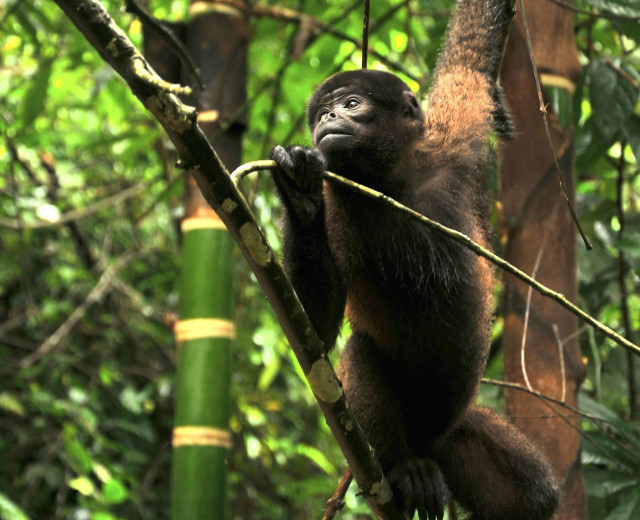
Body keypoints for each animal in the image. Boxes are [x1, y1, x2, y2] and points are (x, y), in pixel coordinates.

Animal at [268, 0, 560, 516]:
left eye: (350, 104)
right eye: (321, 113)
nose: (327, 119)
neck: (390, 178)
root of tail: (428, 441)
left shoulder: (453, 133)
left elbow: (469, 62)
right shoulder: (338, 200)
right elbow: (316, 334)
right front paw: (299, 194)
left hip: (454, 433)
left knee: (538, 496)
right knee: (360, 353)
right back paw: (405, 469)